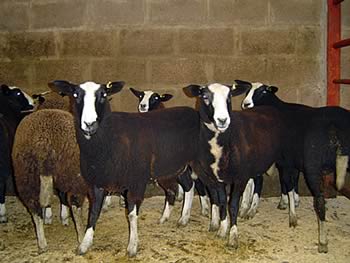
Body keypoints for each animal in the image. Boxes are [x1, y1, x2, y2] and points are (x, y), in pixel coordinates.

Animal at [183, 84, 296, 250]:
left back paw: (292, 216)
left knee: (289, 184)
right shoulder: (216, 179)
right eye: (204, 97)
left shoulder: (240, 177)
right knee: (260, 180)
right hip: (258, 161)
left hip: (285, 159)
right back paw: (251, 210)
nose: (222, 120)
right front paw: (222, 229)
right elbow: (221, 203)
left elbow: (232, 206)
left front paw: (233, 237)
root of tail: (271, 108)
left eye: (229, 97)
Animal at [238, 80, 350, 254]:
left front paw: (292, 214)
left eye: (263, 91)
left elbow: (287, 183)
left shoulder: (285, 161)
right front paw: (289, 202)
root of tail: (335, 127)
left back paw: (322, 242)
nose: (246, 104)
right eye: (247, 90)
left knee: (319, 202)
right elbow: (292, 182)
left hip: (312, 167)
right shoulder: (292, 162)